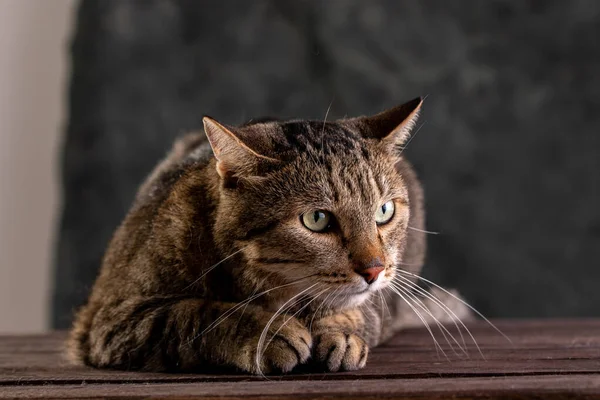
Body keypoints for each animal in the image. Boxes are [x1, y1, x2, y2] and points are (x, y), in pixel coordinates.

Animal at [69, 97, 474, 376]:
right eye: (316, 219)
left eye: (384, 211)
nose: (374, 270)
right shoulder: (112, 320)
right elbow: (191, 312)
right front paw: (267, 331)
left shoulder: (379, 299)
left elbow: (356, 310)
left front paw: (340, 331)